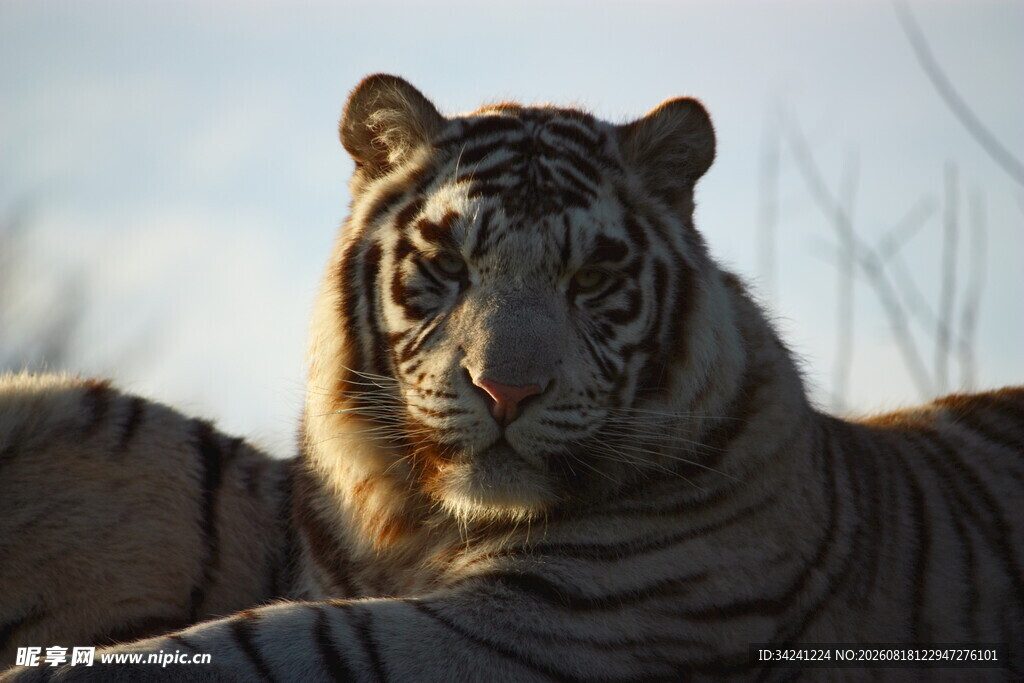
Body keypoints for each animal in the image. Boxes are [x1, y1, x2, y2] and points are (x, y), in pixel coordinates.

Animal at [1, 73, 1021, 681]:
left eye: (593, 278)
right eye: (448, 263)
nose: (507, 393)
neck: (414, 526)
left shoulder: (555, 622)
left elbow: (273, 639)